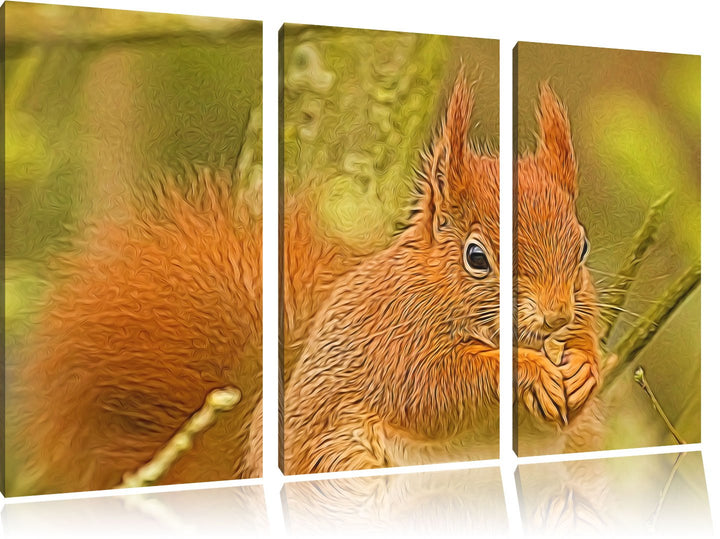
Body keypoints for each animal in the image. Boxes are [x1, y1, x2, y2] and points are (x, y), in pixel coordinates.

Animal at [280, 74, 599, 474]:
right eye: (476, 257)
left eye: (582, 246)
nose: (556, 316)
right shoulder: (395, 342)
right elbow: (431, 390)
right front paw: (530, 369)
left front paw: (585, 368)